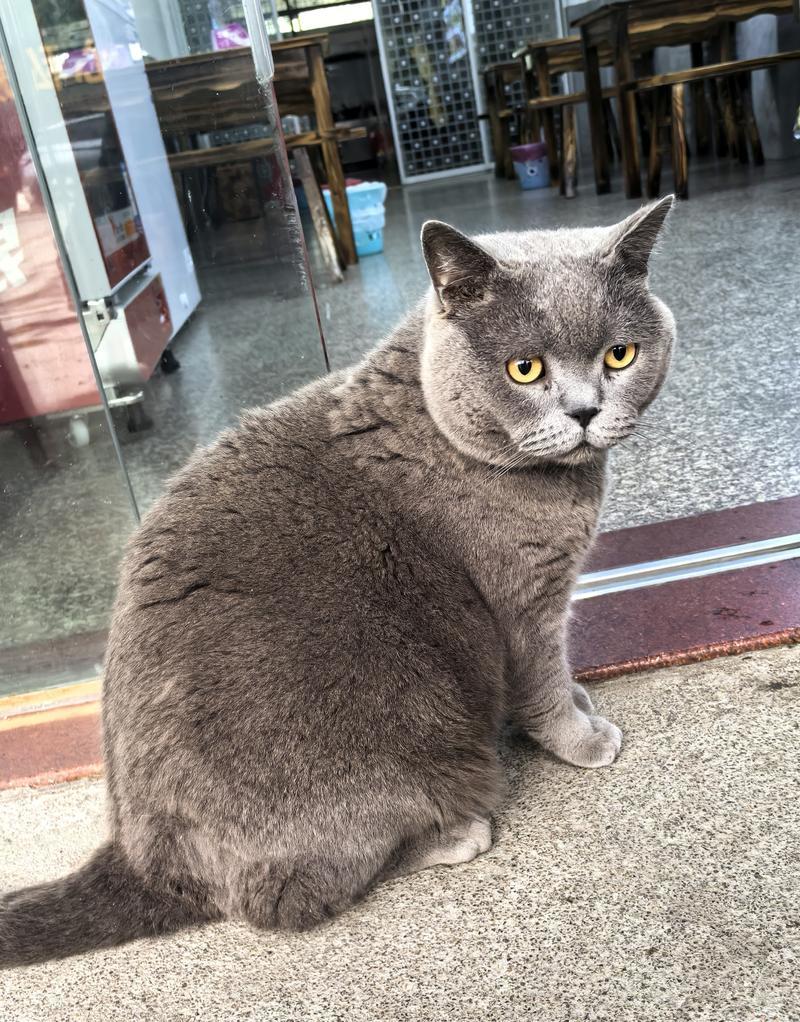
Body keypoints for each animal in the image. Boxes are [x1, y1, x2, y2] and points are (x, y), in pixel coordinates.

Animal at [0, 195, 675, 967]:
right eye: (525, 369)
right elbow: (542, 682)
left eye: (619, 355)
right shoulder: (526, 602)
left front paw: (581, 704)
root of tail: (137, 854)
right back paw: (457, 832)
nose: (586, 412)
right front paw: (583, 738)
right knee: (284, 899)